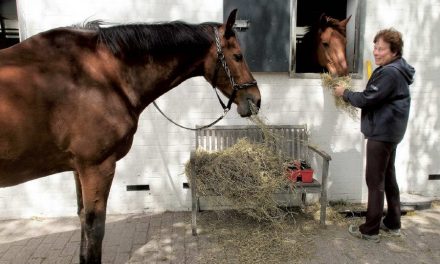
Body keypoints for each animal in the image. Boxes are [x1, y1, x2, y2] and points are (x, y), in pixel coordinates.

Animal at [0, 9, 260, 262]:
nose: (256, 99)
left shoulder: (78, 168)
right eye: (238, 56)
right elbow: (95, 229)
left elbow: (83, 220)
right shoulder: (96, 167)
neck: (99, 75)